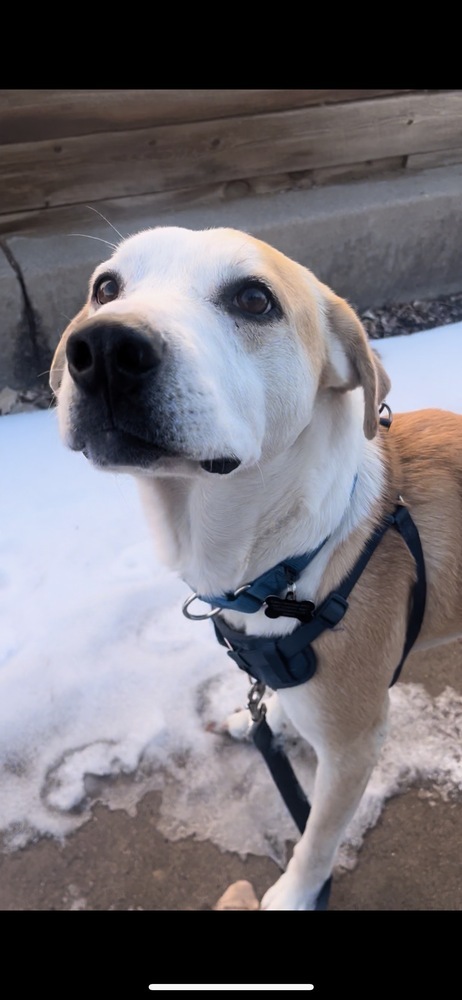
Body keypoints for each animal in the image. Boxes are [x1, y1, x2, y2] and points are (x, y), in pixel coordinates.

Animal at [50, 223, 462, 912]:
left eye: (253, 299)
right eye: (105, 287)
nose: (103, 347)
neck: (297, 557)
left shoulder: (356, 743)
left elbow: (317, 837)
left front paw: (293, 894)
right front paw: (254, 721)